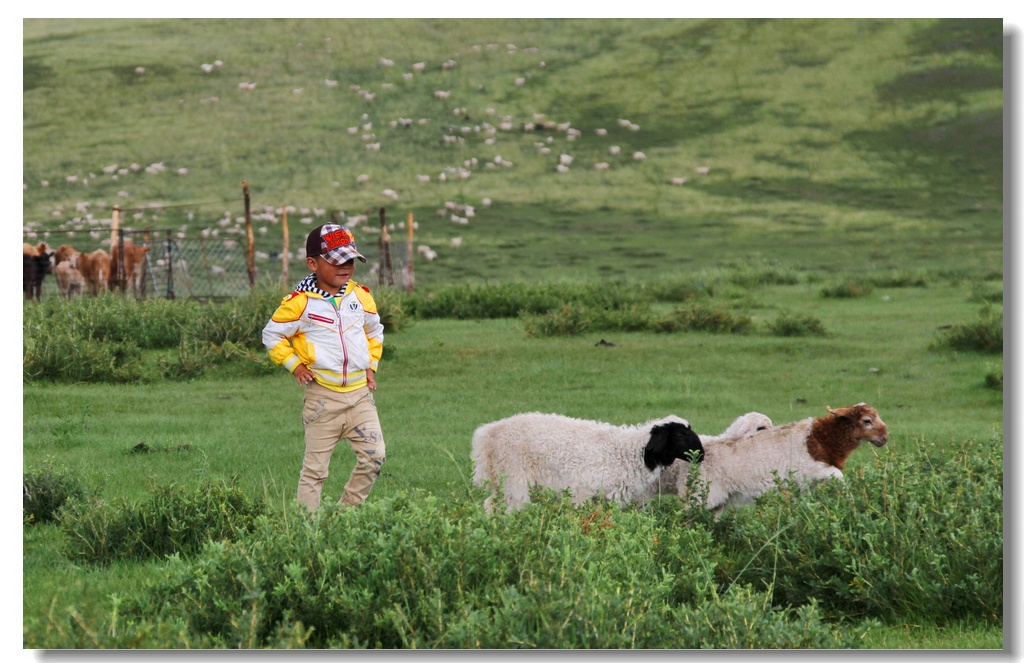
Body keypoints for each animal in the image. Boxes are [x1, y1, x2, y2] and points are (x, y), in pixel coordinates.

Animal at [471, 413, 704, 514]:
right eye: (680, 436)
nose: (701, 454)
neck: (629, 452)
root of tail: (488, 435)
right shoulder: (581, 491)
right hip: (514, 478)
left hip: (505, 482)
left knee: (491, 504)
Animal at [675, 403, 884, 514]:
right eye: (867, 421)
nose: (885, 438)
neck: (819, 438)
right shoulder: (811, 470)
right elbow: (839, 476)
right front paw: (850, 499)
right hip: (699, 497)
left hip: (717, 502)